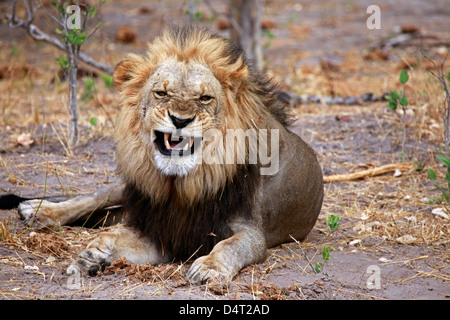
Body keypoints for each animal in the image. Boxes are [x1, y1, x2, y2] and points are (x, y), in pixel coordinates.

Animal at [14, 26, 324, 284]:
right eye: (161, 93)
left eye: (204, 98)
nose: (180, 120)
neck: (182, 185)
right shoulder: (162, 228)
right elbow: (113, 234)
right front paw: (94, 255)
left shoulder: (250, 231)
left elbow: (231, 246)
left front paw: (209, 267)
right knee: (92, 197)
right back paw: (38, 210)